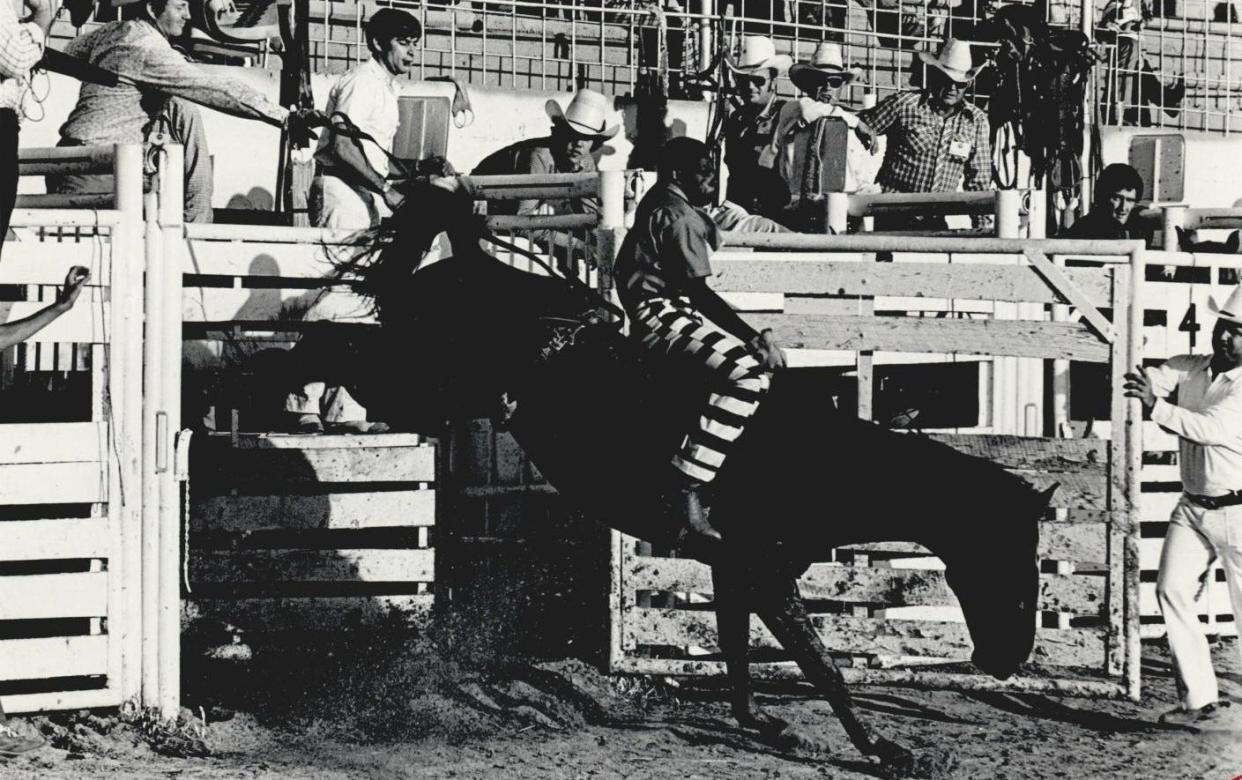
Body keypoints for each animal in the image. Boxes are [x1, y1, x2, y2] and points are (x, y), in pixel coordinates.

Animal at [327, 180, 1058, 775]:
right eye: (1004, 555)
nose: (1009, 658)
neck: (815, 459)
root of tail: (474, 264)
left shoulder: (735, 569)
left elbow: (737, 653)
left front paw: (766, 724)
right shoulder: (765, 570)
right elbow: (821, 664)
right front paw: (888, 750)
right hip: (416, 372)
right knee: (353, 357)